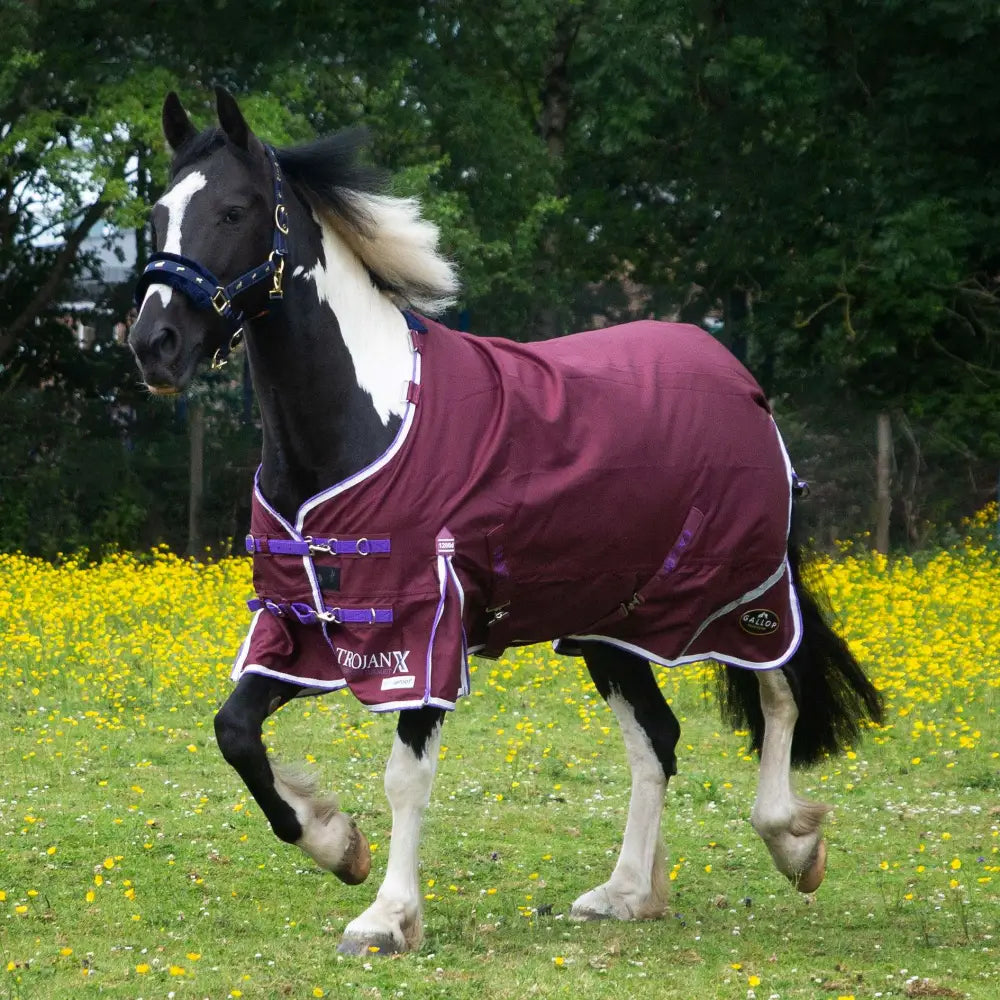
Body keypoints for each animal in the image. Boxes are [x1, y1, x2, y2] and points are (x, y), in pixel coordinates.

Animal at [127, 87, 884, 955]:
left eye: (233, 209)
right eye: (157, 215)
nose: (154, 344)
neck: (361, 420)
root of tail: (741, 381)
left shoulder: (423, 623)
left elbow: (405, 775)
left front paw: (385, 916)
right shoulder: (302, 620)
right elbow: (235, 732)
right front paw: (335, 840)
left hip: (743, 590)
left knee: (779, 692)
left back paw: (792, 842)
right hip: (609, 625)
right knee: (656, 742)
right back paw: (626, 893)